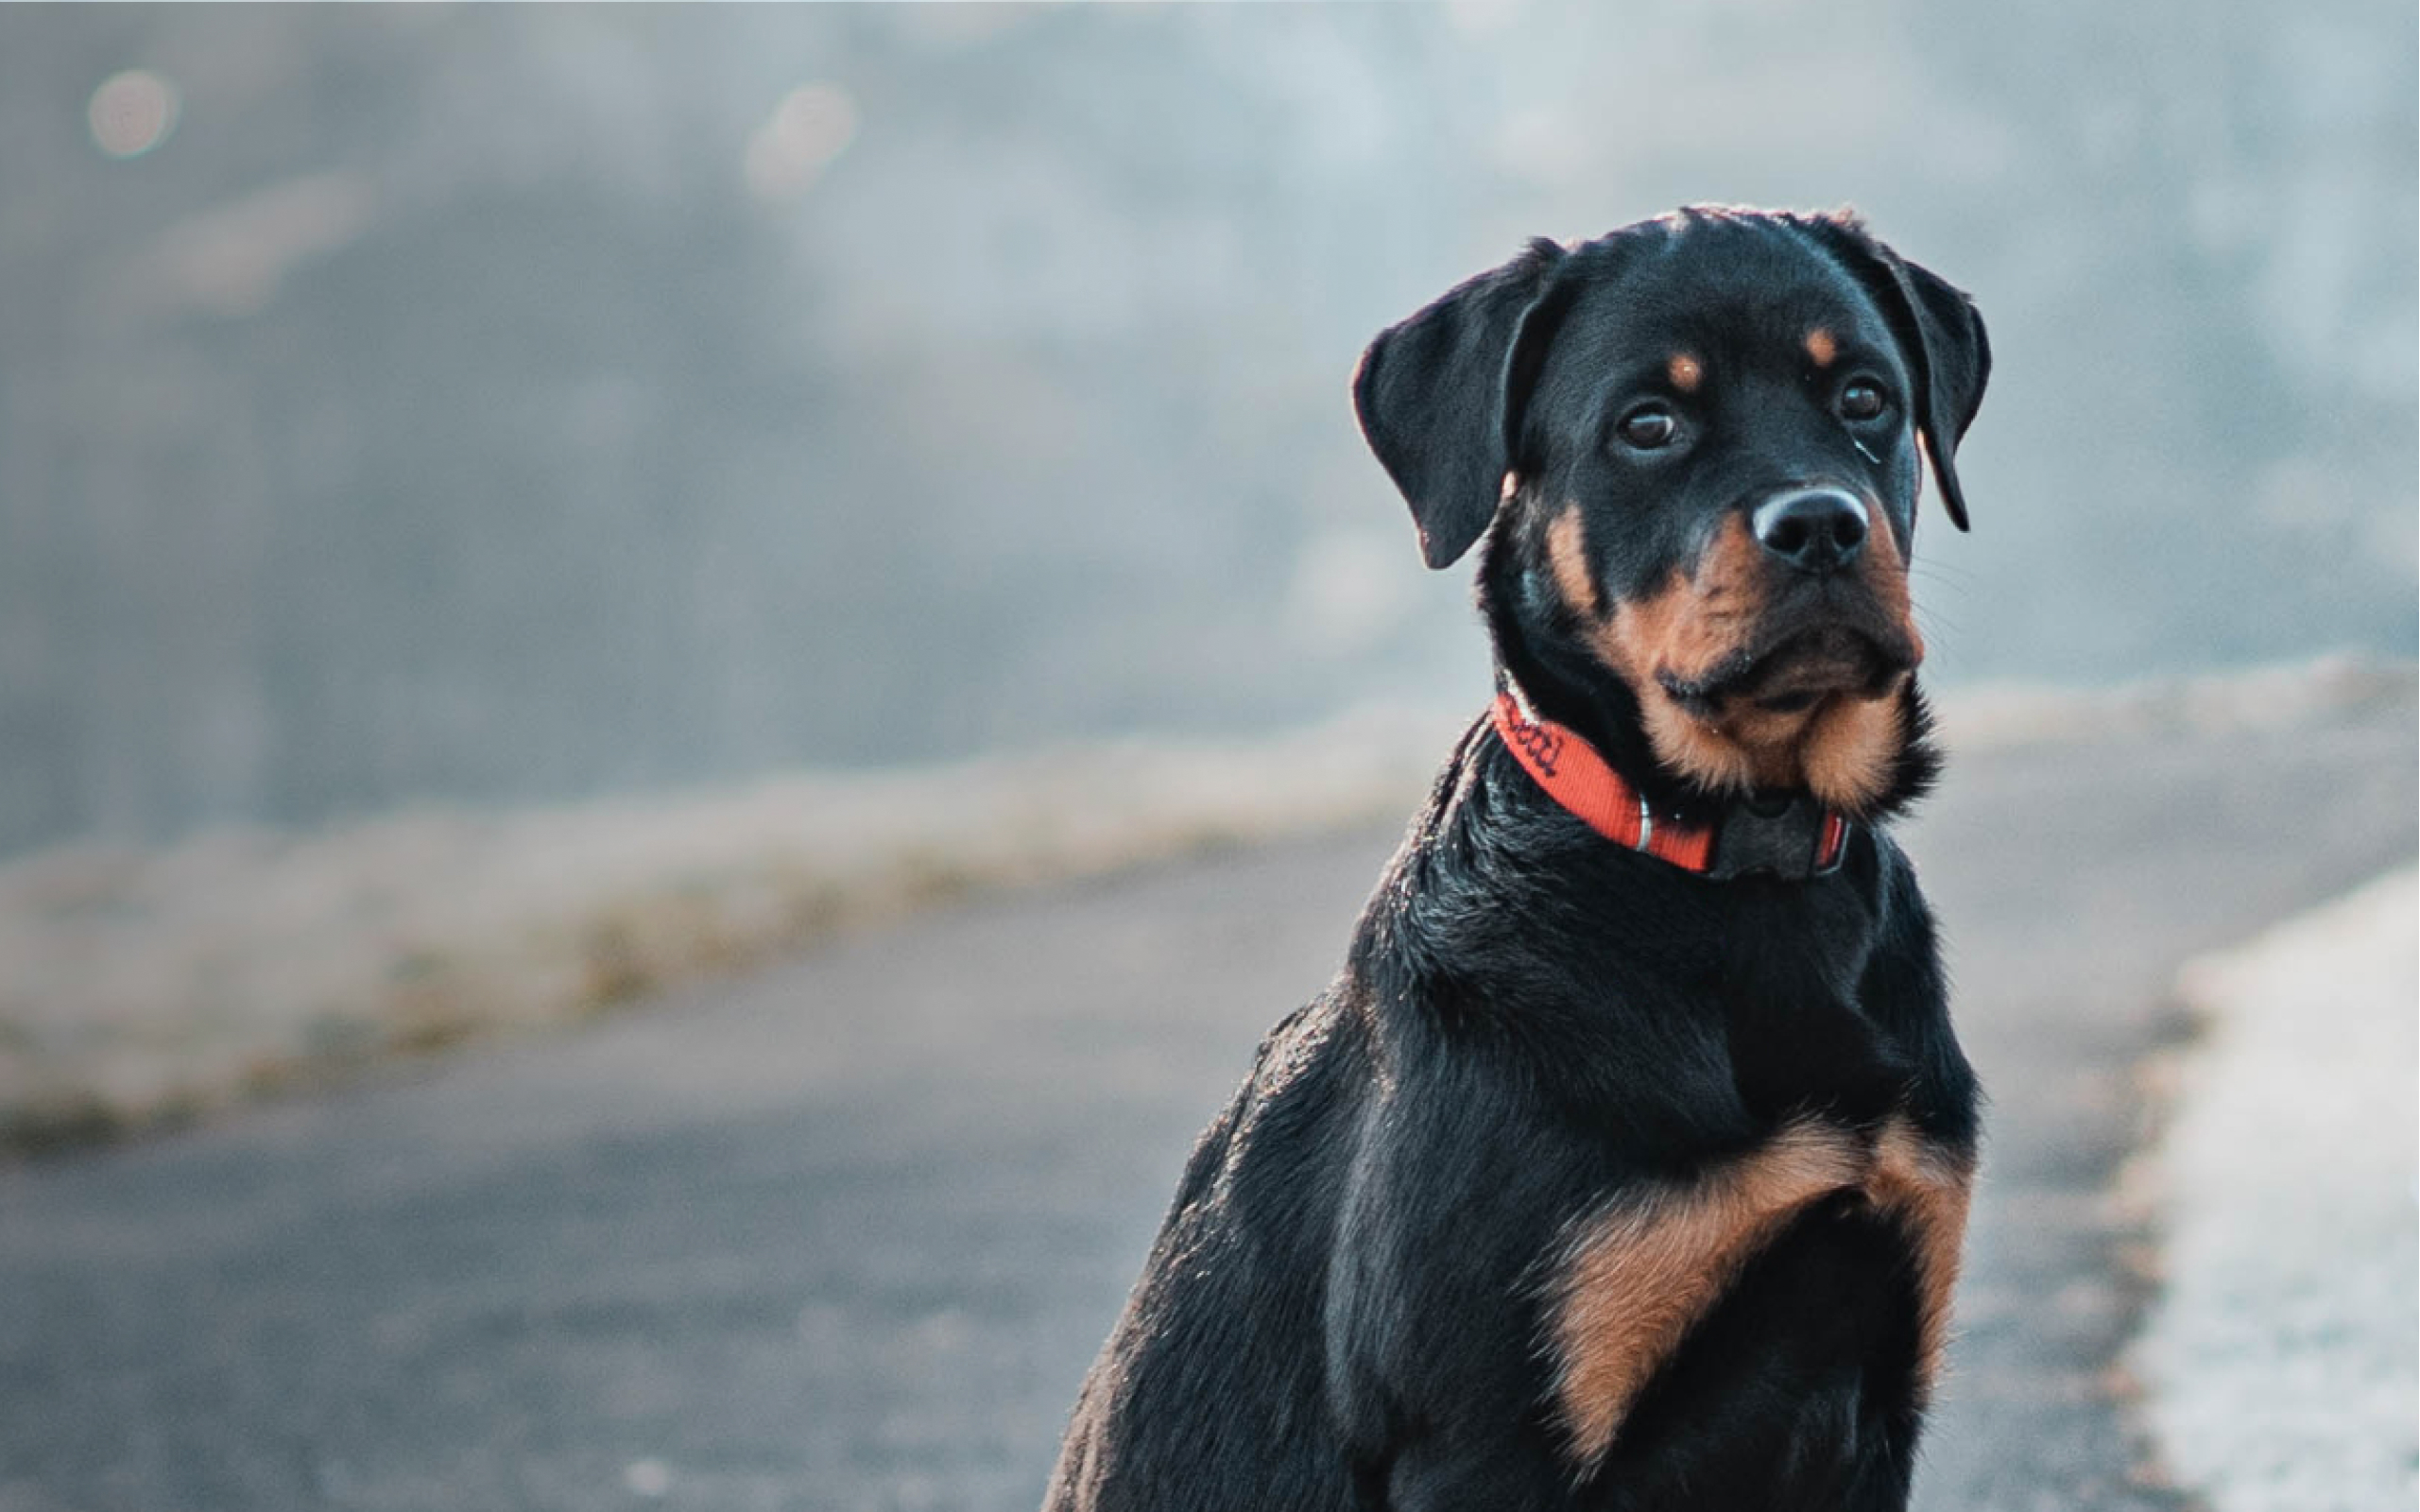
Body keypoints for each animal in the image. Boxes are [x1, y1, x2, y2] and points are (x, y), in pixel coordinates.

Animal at [1040, 209, 1984, 1509]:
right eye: (1648, 424)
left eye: (1863, 397)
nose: (1821, 525)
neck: (1735, 867)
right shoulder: (1485, 1437)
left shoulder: (1876, 1384)